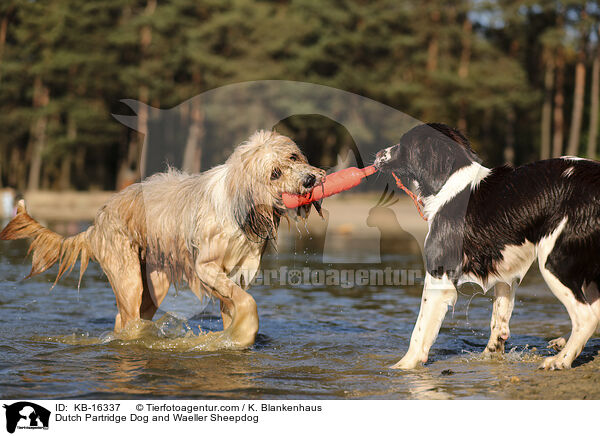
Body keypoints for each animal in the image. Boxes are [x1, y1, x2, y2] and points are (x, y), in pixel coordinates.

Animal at [1, 129, 324, 348]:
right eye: (275, 173)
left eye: (294, 156)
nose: (310, 180)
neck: (240, 208)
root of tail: (95, 223)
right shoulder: (206, 267)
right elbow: (247, 302)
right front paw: (244, 332)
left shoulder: (235, 274)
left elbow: (235, 302)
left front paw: (233, 335)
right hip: (128, 277)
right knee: (127, 319)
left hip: (153, 284)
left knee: (126, 318)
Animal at [376, 123, 600, 372]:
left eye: (402, 144)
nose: (377, 154)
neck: (450, 182)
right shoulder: (505, 269)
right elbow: (498, 320)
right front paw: (490, 356)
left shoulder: (439, 274)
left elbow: (420, 328)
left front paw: (403, 365)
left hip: (553, 261)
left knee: (587, 316)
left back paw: (560, 360)